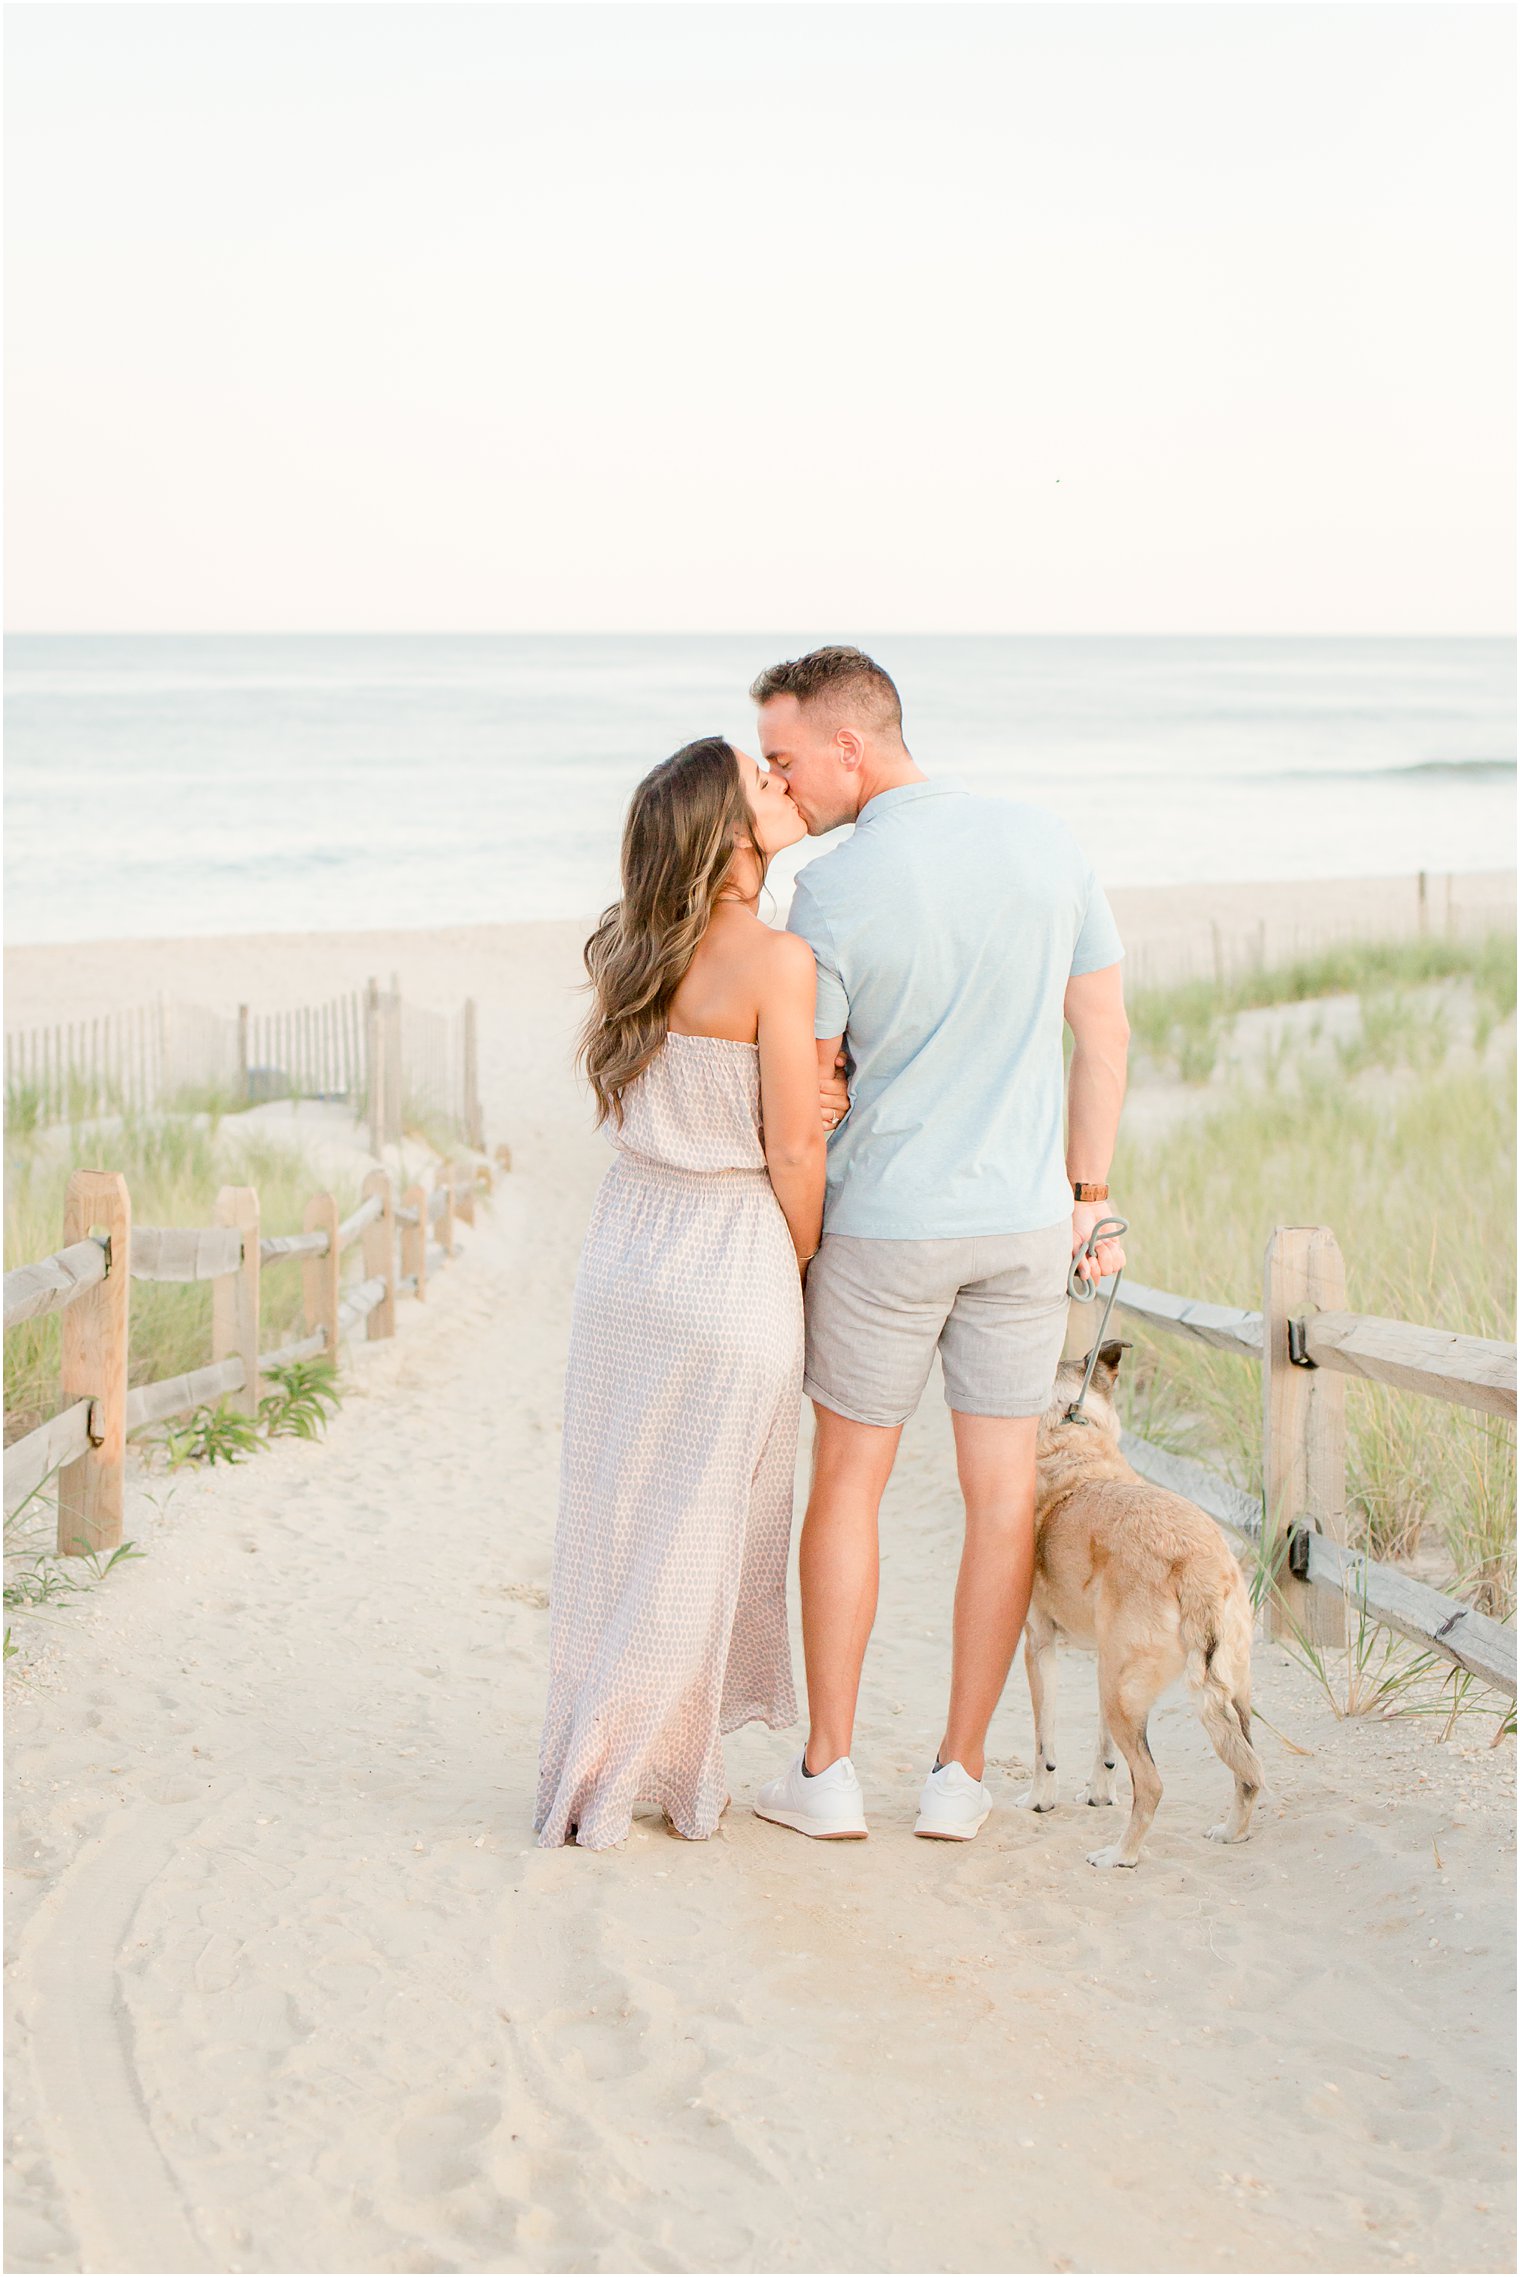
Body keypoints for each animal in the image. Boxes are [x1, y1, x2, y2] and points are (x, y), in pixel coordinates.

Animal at [1014, 1329, 1265, 1867]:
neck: (1072, 1438)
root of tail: (1195, 1563)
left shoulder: (1039, 1645)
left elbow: (1044, 1746)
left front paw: (1040, 1801)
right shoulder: (1102, 1660)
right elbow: (1104, 1750)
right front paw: (1098, 1793)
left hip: (1122, 1691)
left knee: (1151, 1786)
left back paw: (1120, 1855)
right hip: (1218, 1690)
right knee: (1248, 1773)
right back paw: (1231, 1832)